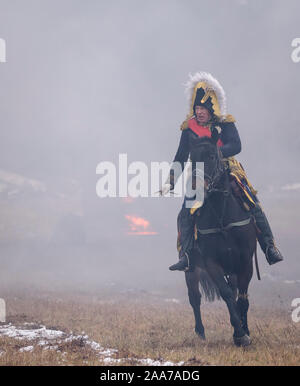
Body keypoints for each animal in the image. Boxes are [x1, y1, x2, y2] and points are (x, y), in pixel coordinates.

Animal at [186, 129, 256, 346]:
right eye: (192, 158)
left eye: (211, 156)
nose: (195, 187)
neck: (222, 217)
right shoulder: (211, 262)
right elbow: (225, 293)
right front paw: (239, 333)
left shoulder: (245, 261)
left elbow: (242, 297)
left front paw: (244, 331)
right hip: (191, 270)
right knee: (195, 298)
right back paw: (200, 332)